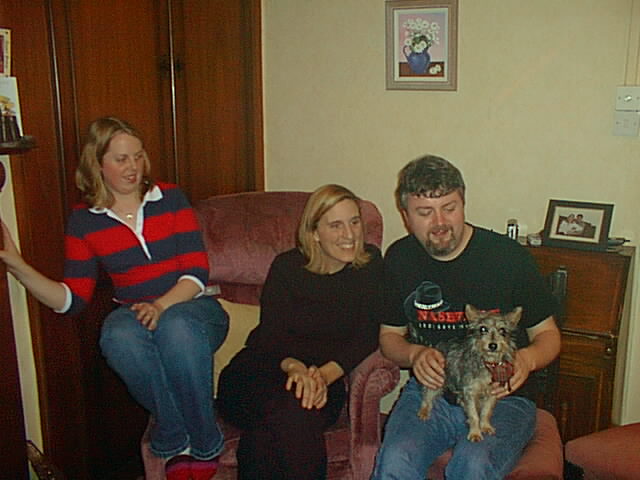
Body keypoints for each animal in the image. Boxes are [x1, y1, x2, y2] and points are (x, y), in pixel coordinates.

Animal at [417, 304, 522, 442]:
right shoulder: (469, 392)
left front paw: (485, 426)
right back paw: (424, 411)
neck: (487, 363)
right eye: (483, 329)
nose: (493, 345)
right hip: (436, 379)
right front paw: (475, 433)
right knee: (427, 395)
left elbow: (486, 411)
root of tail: (438, 346)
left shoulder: (492, 393)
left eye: (502, 331)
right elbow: (473, 415)